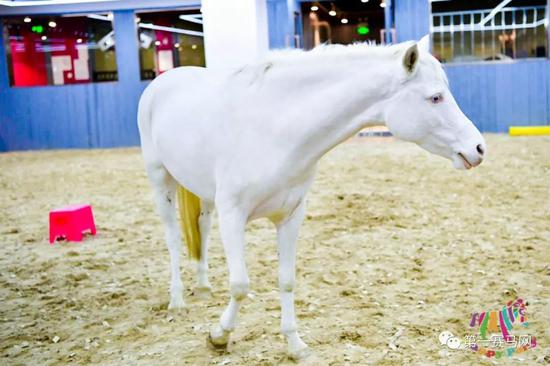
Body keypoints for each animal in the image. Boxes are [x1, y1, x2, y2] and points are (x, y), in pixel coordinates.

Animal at [139, 35, 488, 358]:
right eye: (435, 97)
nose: (478, 148)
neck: (274, 128)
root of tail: (164, 80)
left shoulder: (290, 216)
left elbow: (287, 280)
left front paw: (295, 345)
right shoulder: (233, 215)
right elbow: (240, 285)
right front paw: (219, 336)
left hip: (205, 197)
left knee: (202, 230)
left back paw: (203, 286)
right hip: (160, 181)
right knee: (173, 239)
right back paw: (177, 300)